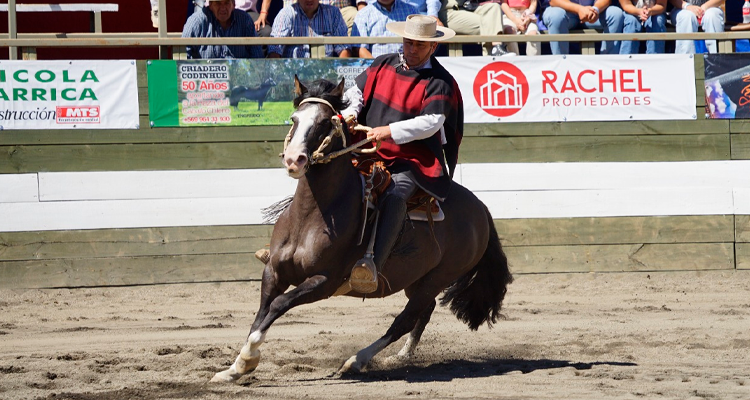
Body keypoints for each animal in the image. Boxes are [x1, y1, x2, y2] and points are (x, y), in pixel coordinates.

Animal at [213, 77, 516, 382]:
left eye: (325, 122)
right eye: (294, 118)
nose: (293, 159)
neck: (311, 216)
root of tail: (481, 209)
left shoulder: (324, 281)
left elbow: (277, 306)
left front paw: (247, 359)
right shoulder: (273, 272)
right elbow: (260, 315)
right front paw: (234, 368)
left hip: (438, 278)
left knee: (405, 319)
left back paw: (356, 361)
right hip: (417, 279)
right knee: (423, 312)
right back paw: (402, 355)